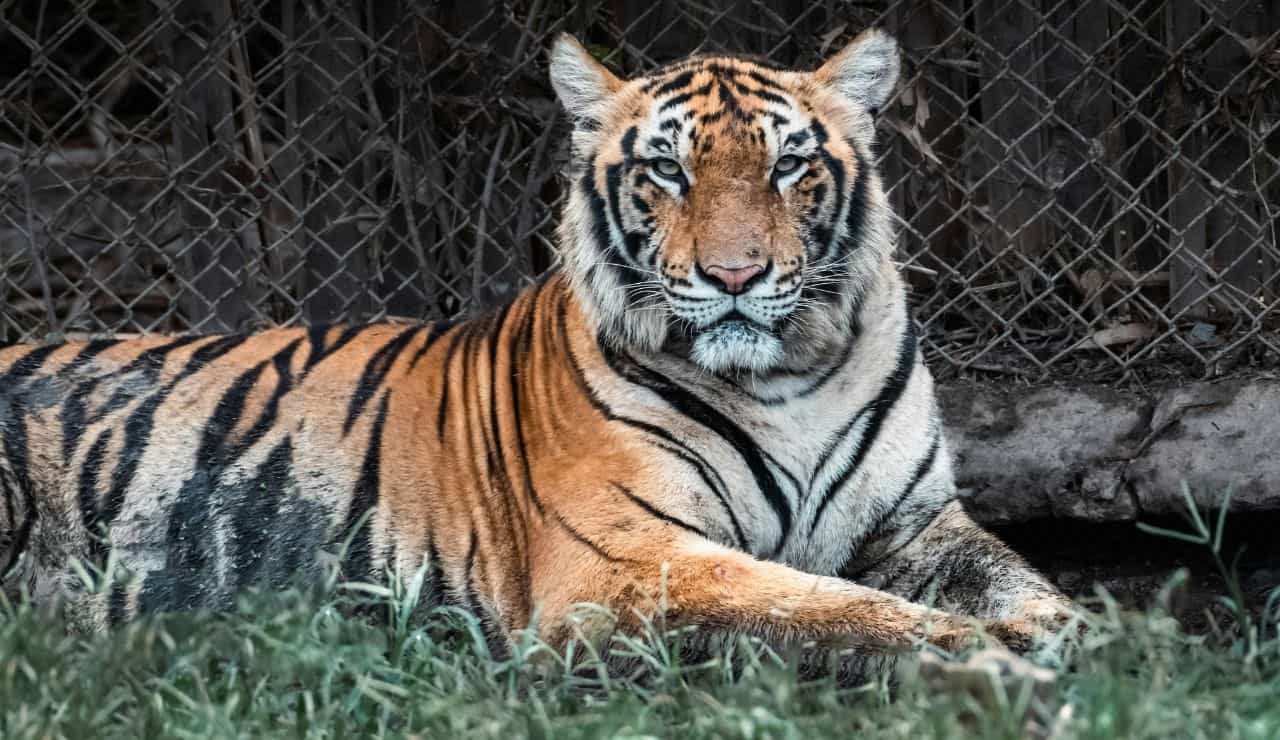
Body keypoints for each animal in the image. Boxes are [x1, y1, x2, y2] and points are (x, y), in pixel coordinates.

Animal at [0, 29, 1070, 664]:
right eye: (668, 172)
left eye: (787, 166)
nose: (735, 276)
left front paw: (1081, 637)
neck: (787, 379)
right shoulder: (622, 560)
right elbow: (818, 606)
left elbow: (1020, 578)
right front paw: (983, 655)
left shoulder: (916, 525)